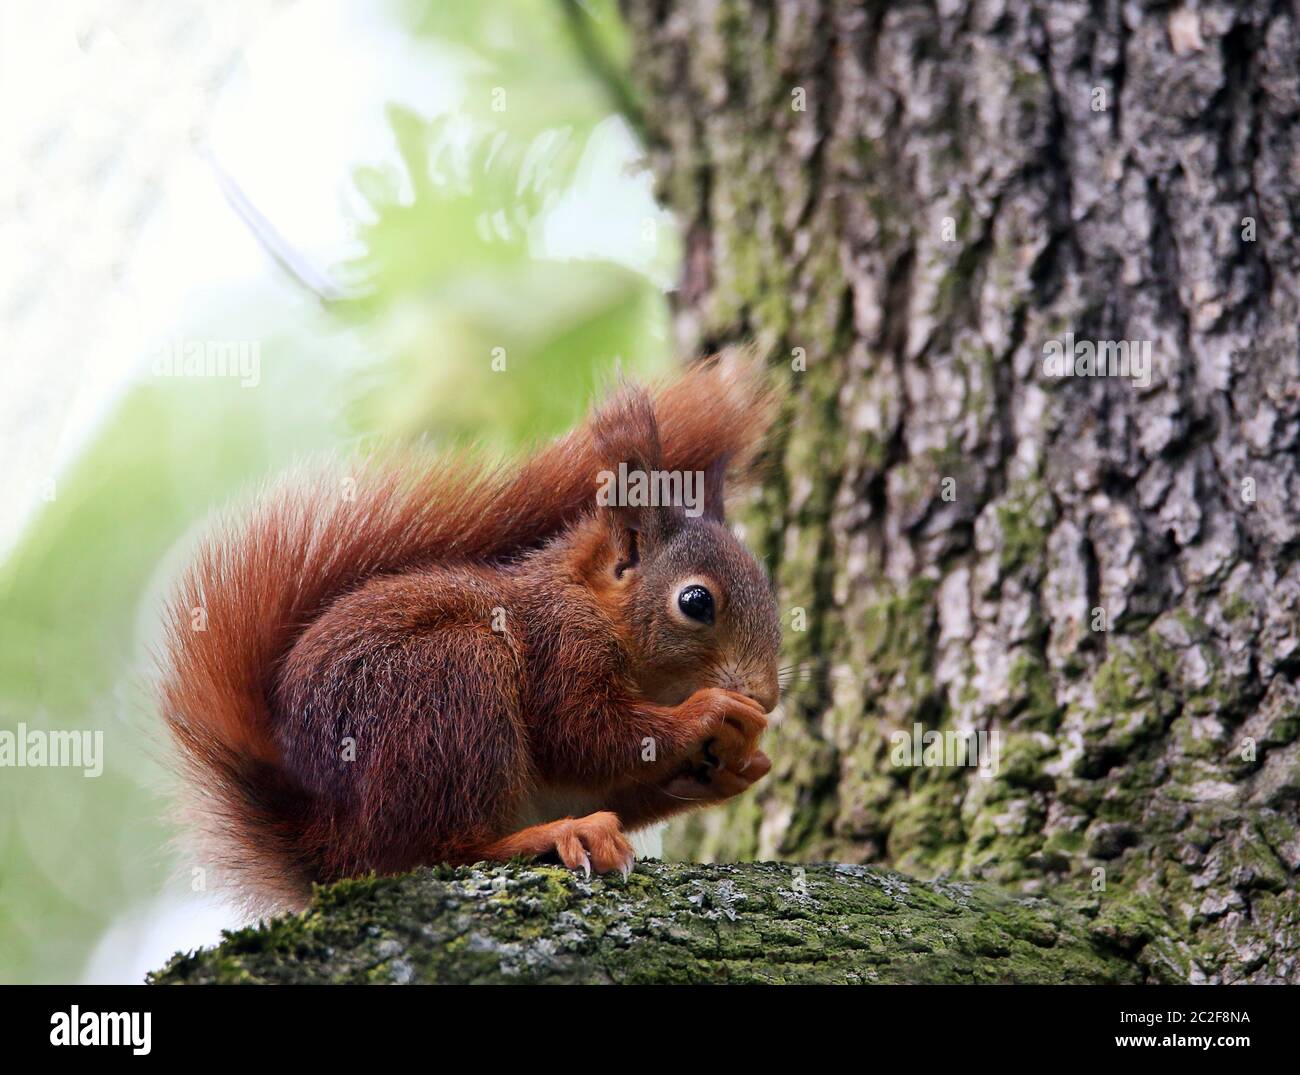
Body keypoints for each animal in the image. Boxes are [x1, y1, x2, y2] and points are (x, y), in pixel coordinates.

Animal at [157, 353, 774, 909]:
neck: (597, 607)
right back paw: (552, 834)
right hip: (450, 683)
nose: (765, 696)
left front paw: (740, 768)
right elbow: (584, 734)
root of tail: (326, 844)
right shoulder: (560, 644)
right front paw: (711, 712)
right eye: (695, 601)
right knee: (441, 849)